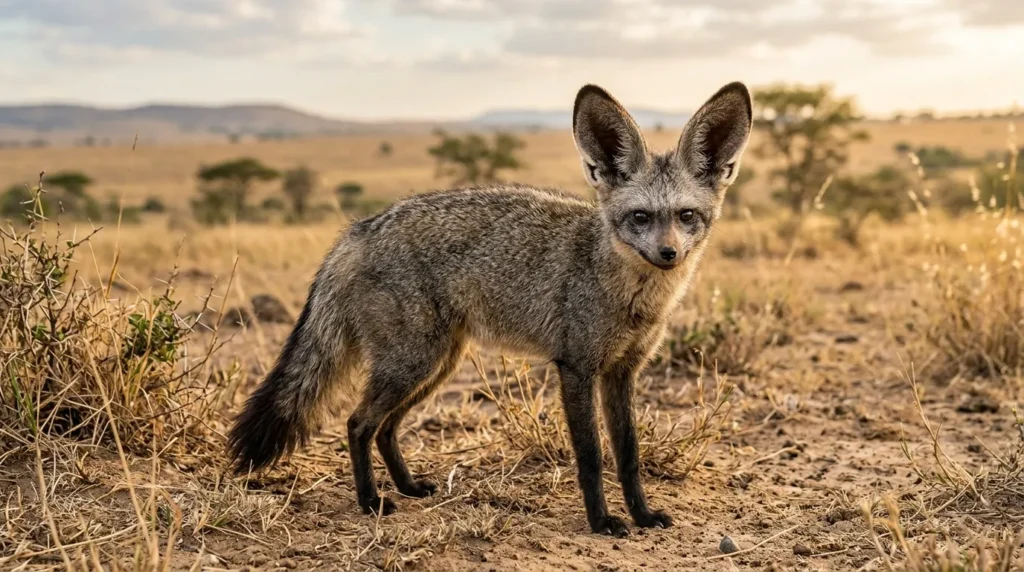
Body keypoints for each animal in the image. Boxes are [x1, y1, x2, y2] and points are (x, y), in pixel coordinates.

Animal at [228, 81, 752, 537]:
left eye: (686, 216)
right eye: (640, 217)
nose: (669, 254)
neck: (631, 296)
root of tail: (362, 226)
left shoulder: (622, 372)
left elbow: (628, 454)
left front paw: (641, 514)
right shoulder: (576, 368)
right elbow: (590, 457)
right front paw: (601, 521)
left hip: (436, 366)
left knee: (385, 427)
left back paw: (407, 487)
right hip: (413, 363)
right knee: (358, 423)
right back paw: (371, 501)